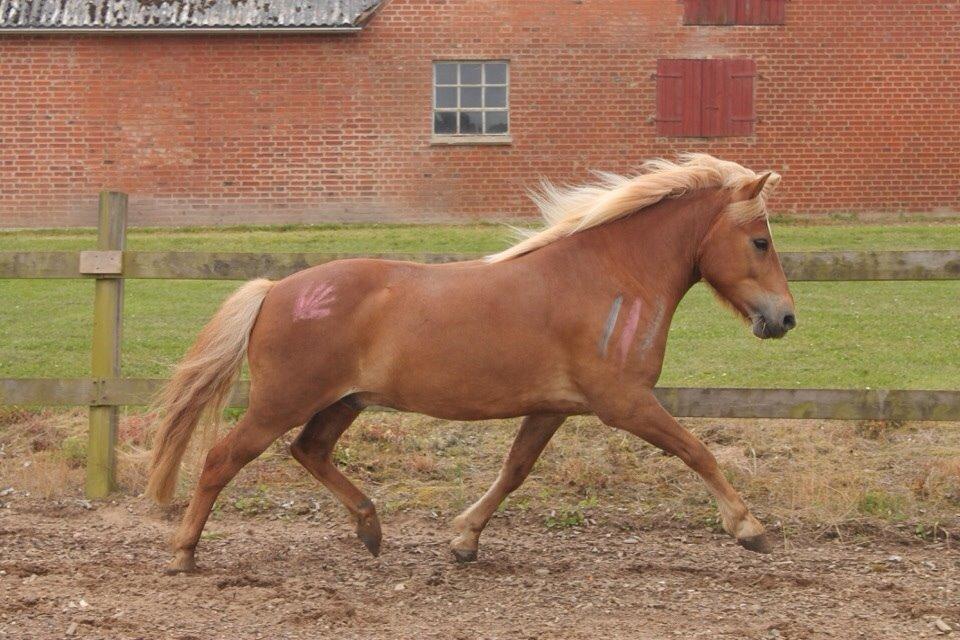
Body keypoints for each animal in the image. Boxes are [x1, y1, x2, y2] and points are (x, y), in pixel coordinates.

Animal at [148, 155, 796, 576]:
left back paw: (370, 529)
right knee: (222, 459)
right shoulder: (625, 403)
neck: (608, 280)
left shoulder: (554, 407)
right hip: (282, 401)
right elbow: (696, 451)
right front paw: (749, 530)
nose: (785, 319)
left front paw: (463, 541)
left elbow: (515, 470)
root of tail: (274, 290)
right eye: (761, 241)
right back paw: (184, 553)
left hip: (343, 402)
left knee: (309, 451)